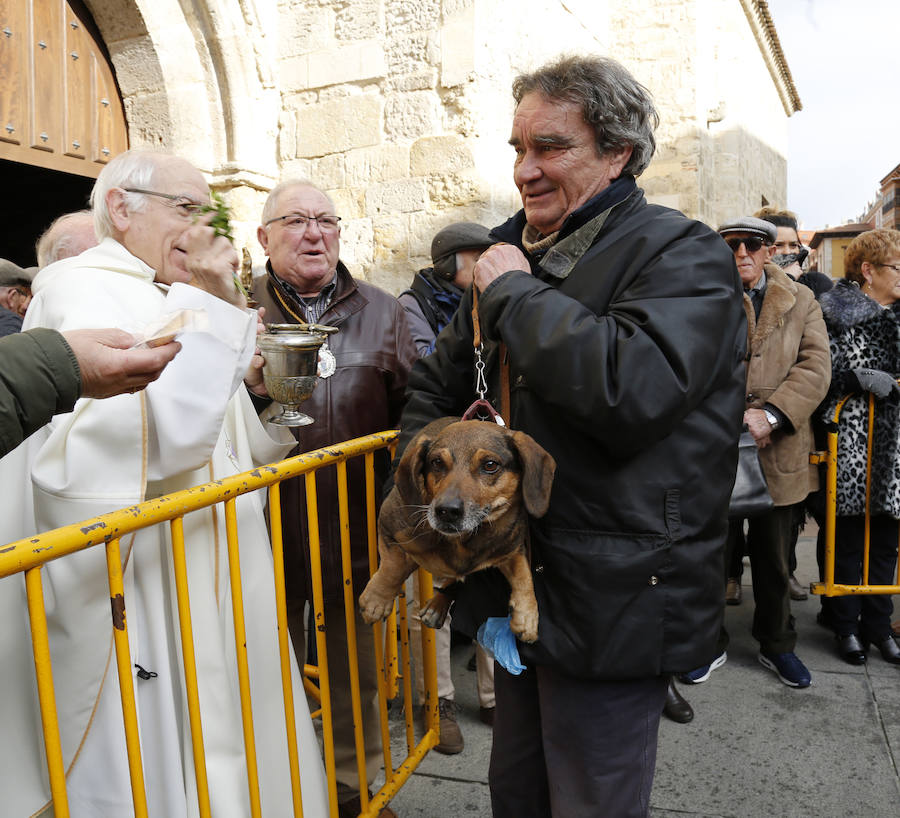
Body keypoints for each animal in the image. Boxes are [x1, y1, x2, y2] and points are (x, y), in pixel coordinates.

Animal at [358, 418, 556, 640]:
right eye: (437, 462)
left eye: (490, 465)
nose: (446, 511)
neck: (462, 540)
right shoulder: (387, 524)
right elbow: (392, 567)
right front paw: (376, 600)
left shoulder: (512, 550)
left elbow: (524, 576)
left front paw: (527, 616)